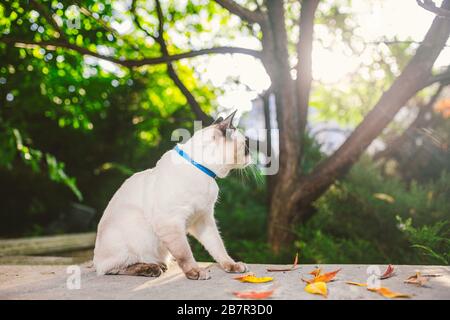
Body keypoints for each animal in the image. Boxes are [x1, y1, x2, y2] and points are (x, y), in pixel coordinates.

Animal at [93, 110, 251, 280]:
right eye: (246, 146)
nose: (251, 155)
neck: (204, 172)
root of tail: (95, 260)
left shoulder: (202, 219)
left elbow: (218, 247)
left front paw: (232, 266)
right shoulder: (171, 222)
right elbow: (185, 253)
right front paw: (196, 272)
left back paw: (160, 265)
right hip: (134, 231)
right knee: (114, 268)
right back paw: (151, 268)